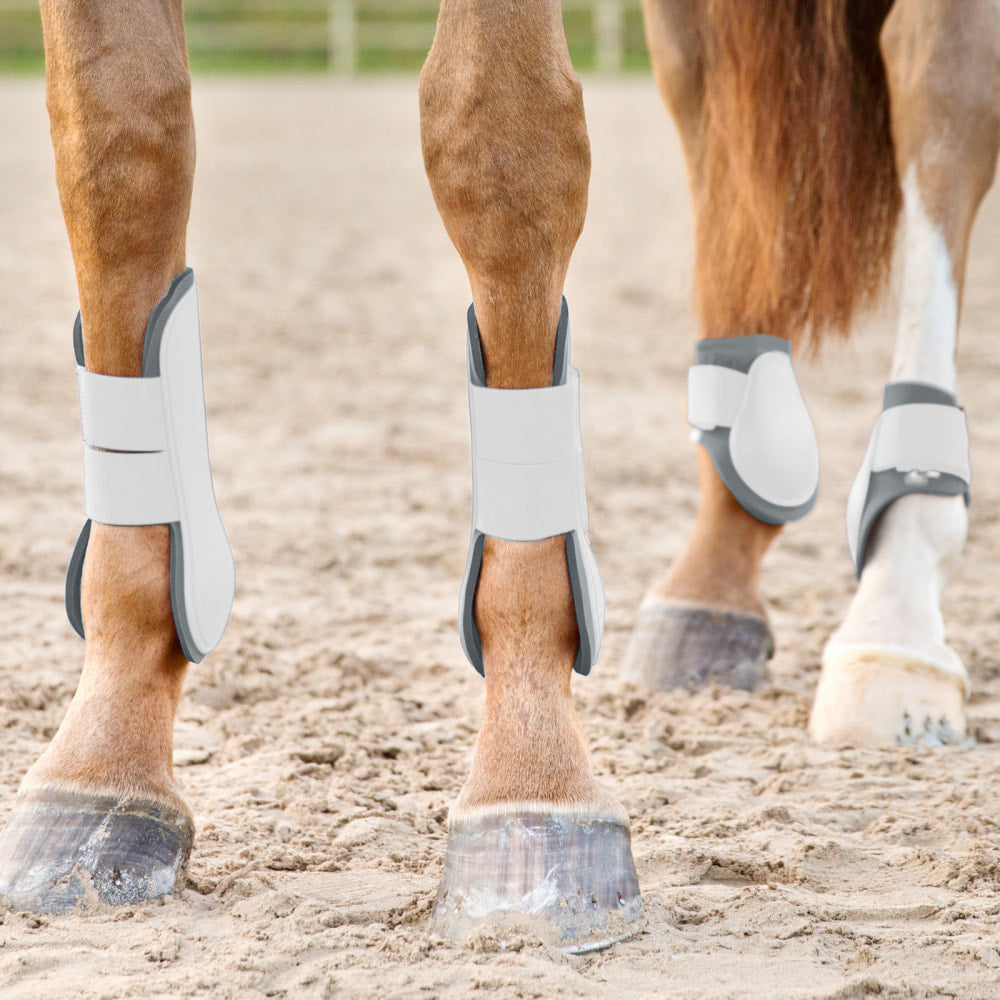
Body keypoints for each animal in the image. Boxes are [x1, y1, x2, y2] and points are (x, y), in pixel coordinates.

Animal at [0, 0, 996, 956]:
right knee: (716, 100)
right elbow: (117, 142)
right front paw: (99, 771)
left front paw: (531, 791)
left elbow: (497, 138)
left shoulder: (502, 128)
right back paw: (714, 585)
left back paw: (895, 615)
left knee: (937, 78)